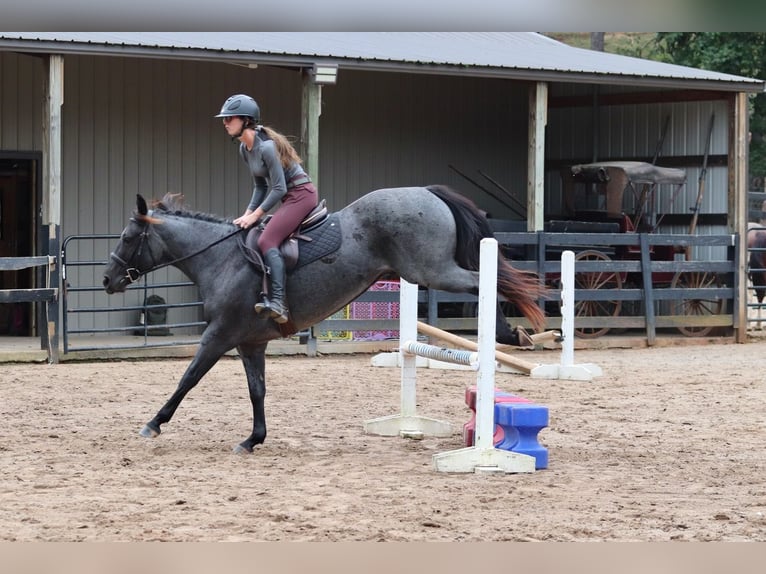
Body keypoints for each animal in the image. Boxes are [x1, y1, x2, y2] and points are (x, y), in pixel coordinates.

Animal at [103, 186, 544, 454]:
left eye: (127, 238)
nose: (107, 280)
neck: (221, 257)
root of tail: (426, 192)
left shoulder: (219, 335)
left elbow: (188, 378)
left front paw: (154, 423)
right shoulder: (250, 342)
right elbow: (257, 391)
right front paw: (253, 439)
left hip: (433, 270)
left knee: (486, 281)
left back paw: (512, 332)